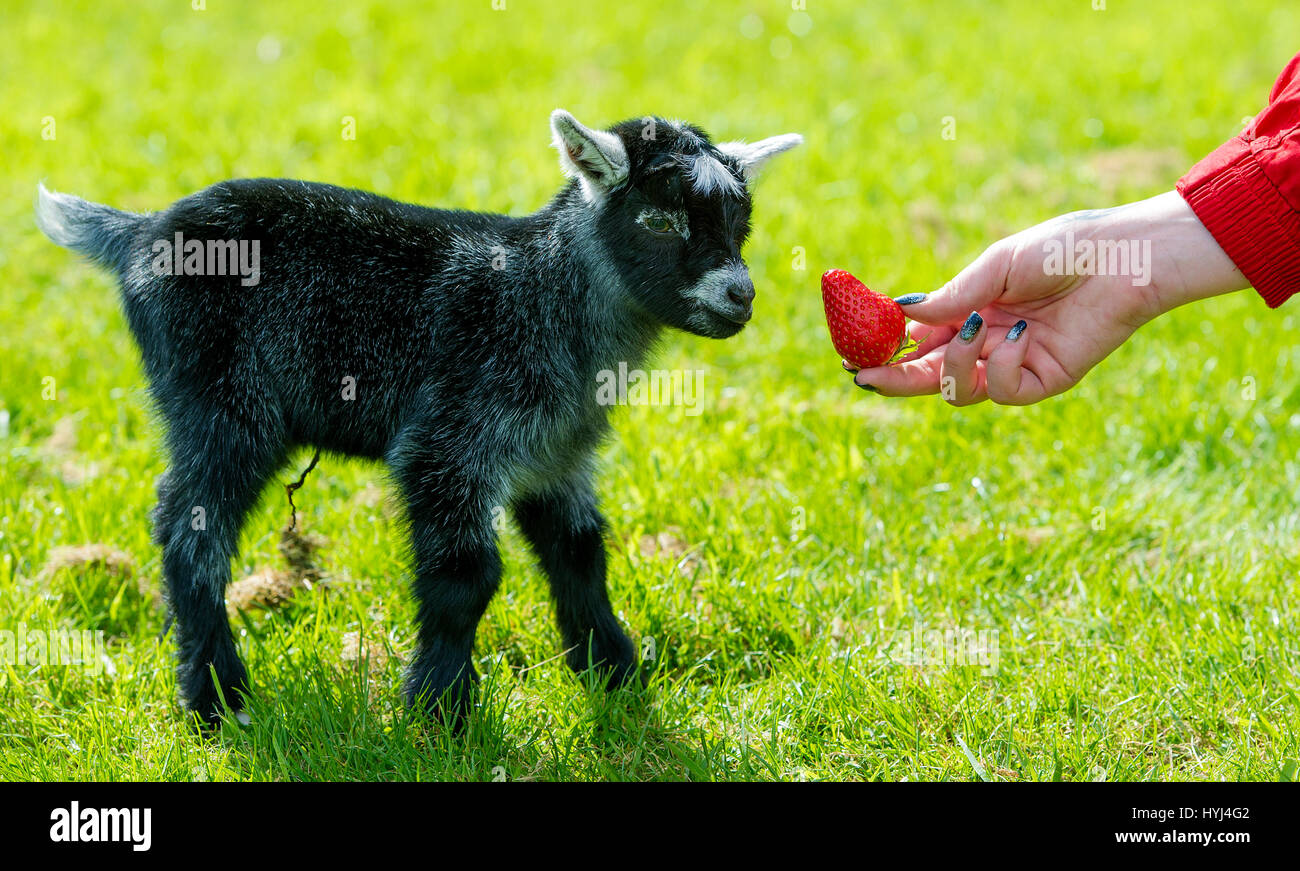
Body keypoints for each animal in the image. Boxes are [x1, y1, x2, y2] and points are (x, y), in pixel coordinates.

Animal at [35, 109, 795, 728]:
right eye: (659, 221)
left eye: (741, 224)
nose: (740, 295)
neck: (542, 291)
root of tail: (136, 234)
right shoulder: (448, 442)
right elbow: (467, 575)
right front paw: (440, 710)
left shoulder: (556, 453)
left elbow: (580, 552)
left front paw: (615, 676)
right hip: (221, 402)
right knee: (189, 528)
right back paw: (219, 701)